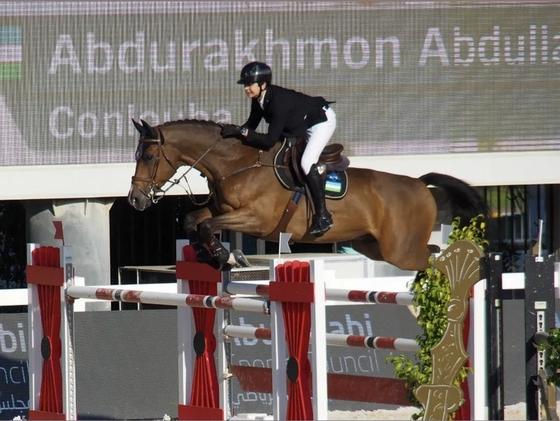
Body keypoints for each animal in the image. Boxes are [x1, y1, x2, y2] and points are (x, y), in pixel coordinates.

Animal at [127, 119, 486, 270]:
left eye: (149, 156)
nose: (135, 199)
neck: (238, 164)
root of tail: (419, 184)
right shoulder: (221, 209)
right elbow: (193, 221)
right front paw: (214, 256)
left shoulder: (257, 221)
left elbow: (205, 226)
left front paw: (228, 256)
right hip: (372, 246)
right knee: (431, 251)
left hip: (400, 251)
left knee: (433, 257)